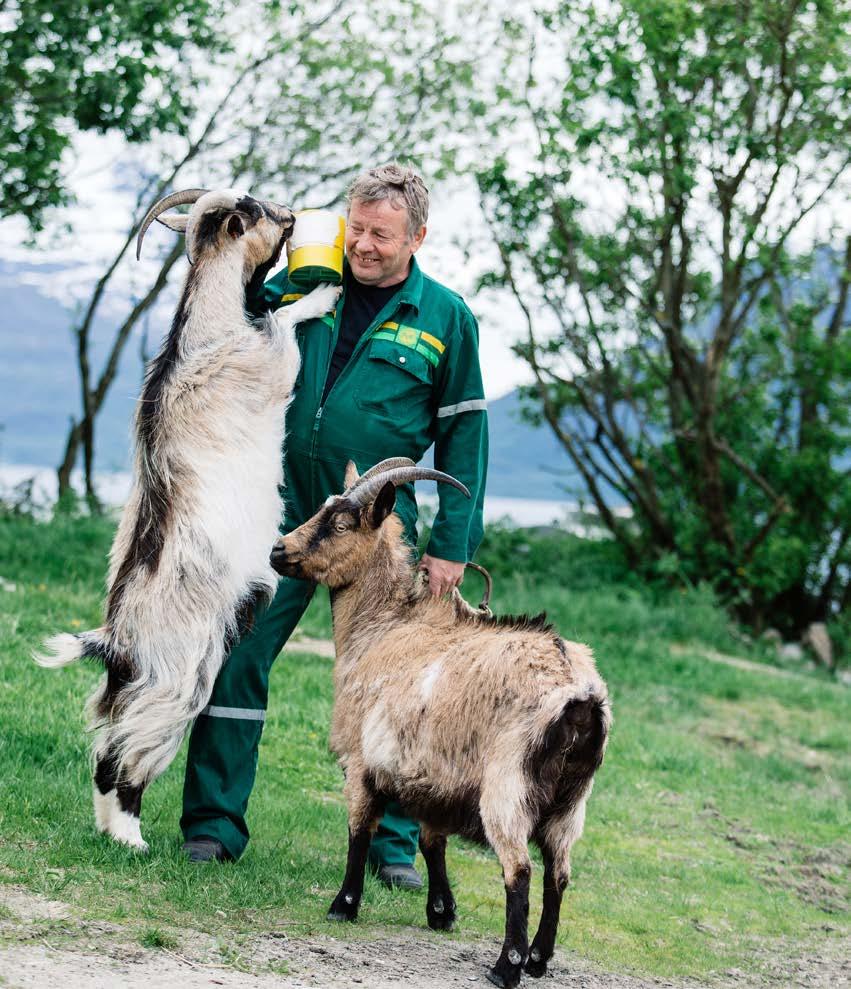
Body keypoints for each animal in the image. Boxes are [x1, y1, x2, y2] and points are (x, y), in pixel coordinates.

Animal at [34, 189, 340, 852]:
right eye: (257, 210)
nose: (292, 216)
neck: (207, 330)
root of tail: (115, 643)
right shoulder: (270, 363)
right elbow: (286, 324)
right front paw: (323, 296)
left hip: (127, 689)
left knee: (106, 745)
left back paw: (113, 831)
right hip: (178, 681)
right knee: (125, 755)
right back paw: (132, 838)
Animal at [272, 462, 612, 988]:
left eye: (342, 524)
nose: (278, 551)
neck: (381, 629)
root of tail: (580, 696)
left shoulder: (360, 762)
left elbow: (359, 831)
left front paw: (342, 906)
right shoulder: (436, 773)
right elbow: (433, 840)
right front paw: (441, 912)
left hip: (507, 785)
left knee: (519, 871)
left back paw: (506, 966)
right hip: (571, 803)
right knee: (558, 873)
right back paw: (538, 959)